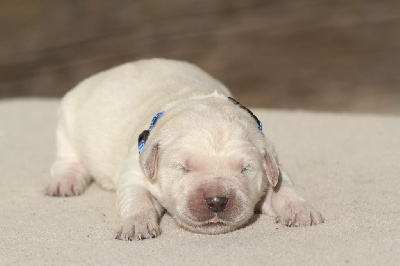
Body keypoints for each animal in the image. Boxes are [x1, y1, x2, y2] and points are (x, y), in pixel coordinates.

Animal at [44, 58, 324, 241]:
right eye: (182, 168)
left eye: (246, 169)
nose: (216, 200)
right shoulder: (136, 171)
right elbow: (137, 199)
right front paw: (136, 225)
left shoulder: (273, 163)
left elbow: (283, 188)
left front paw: (301, 210)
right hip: (67, 122)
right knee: (67, 159)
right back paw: (65, 182)